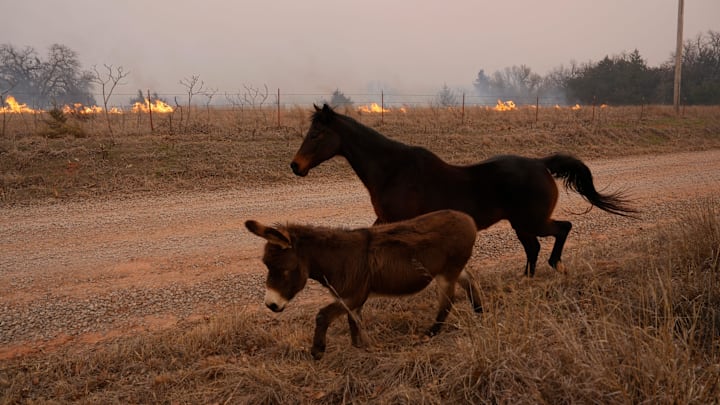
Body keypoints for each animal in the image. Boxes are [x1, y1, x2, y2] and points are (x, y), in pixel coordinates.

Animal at [245, 209, 482, 360]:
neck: (337, 259)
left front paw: (318, 351)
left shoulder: (354, 295)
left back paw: (431, 333)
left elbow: (323, 315)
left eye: (283, 270)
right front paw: (361, 347)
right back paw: (480, 313)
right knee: (470, 282)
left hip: (447, 272)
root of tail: (467, 218)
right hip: (453, 269)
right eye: (267, 266)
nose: (271, 305)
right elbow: (354, 321)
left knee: (448, 301)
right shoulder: (350, 298)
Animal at [291, 104, 638, 277]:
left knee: (562, 229)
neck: (393, 171)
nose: (295, 166)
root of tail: (541, 164)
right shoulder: (386, 221)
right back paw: (527, 278)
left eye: (317, 134)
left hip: (531, 221)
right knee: (533, 248)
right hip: (521, 224)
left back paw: (556, 266)